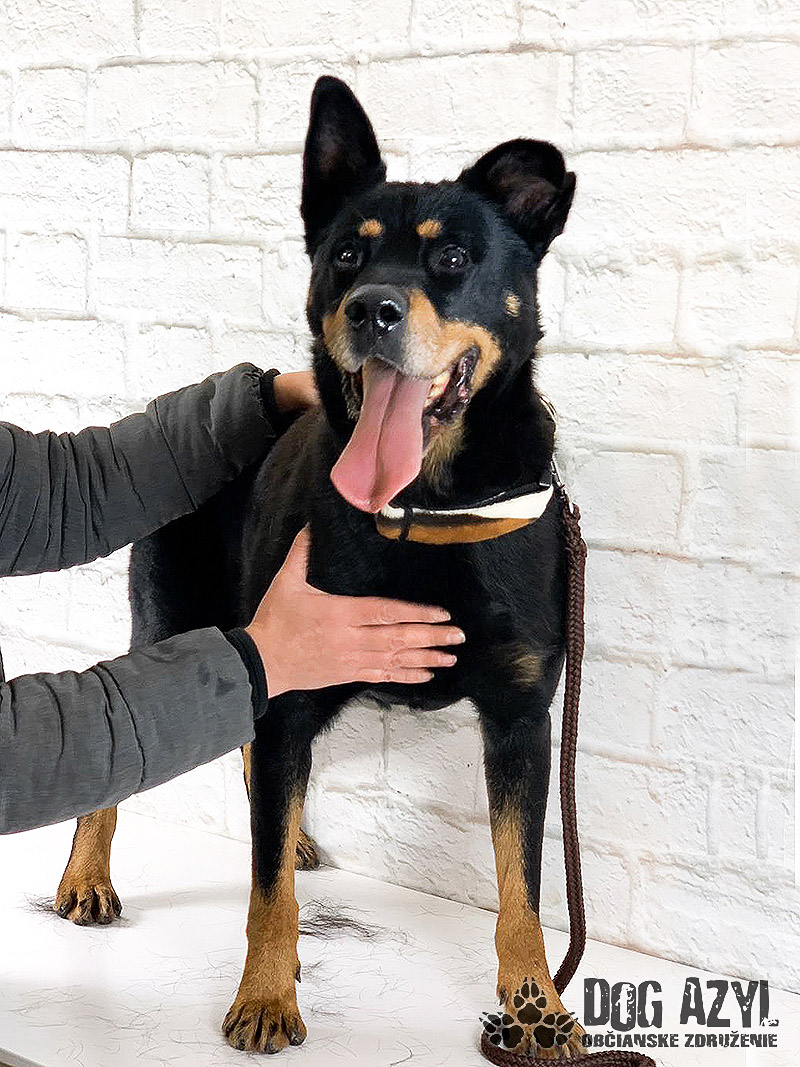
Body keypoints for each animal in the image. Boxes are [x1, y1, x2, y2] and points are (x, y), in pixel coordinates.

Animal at [54, 76, 579, 1059]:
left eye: (454, 257)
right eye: (345, 254)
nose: (373, 307)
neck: (422, 503)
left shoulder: (523, 715)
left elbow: (522, 884)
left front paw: (538, 1006)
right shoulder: (293, 668)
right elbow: (266, 893)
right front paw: (266, 992)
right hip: (175, 614)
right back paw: (87, 874)